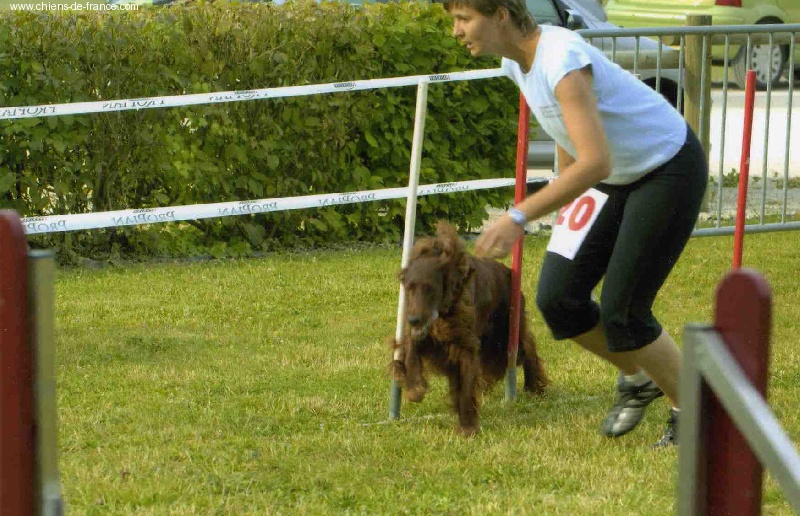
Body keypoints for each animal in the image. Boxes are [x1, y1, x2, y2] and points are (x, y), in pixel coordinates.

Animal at [390, 221, 552, 436]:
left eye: (430, 288)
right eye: (409, 287)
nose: (413, 319)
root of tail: (508, 271)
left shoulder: (465, 345)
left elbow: (466, 388)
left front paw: (468, 427)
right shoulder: (420, 333)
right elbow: (411, 351)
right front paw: (414, 388)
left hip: (505, 333)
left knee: (527, 350)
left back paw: (534, 387)